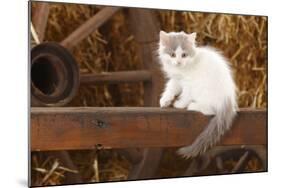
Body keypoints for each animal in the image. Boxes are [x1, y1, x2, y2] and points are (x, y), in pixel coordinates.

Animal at [158, 30, 236, 159]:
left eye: (184, 55)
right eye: (173, 55)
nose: (179, 62)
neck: (182, 69)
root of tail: (228, 101)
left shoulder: (189, 83)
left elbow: (185, 95)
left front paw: (179, 105)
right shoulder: (177, 79)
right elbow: (171, 88)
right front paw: (165, 100)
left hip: (203, 91)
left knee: (210, 110)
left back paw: (193, 105)